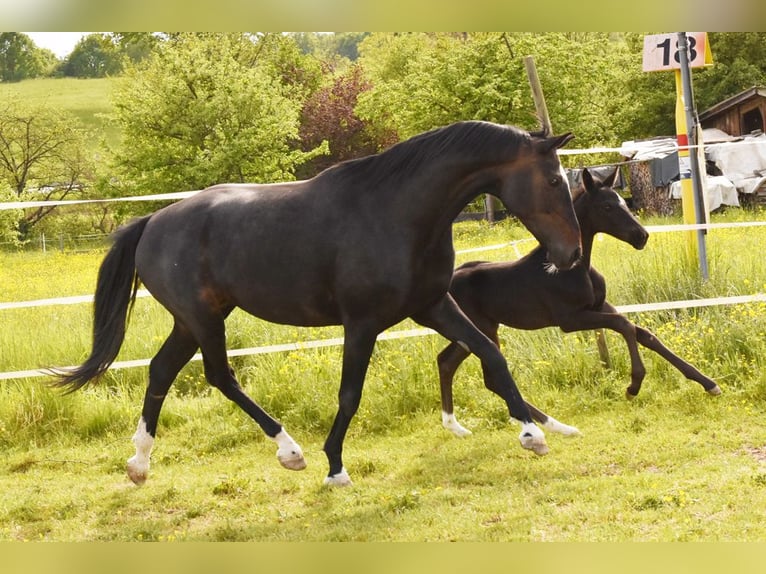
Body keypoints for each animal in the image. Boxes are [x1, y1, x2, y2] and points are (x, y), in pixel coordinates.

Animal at [53, 120, 582, 487]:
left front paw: (534, 434)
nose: (571, 254)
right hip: (202, 319)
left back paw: (140, 464)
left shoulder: (432, 305)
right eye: (556, 181)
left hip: (193, 320)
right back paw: (291, 452)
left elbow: (491, 354)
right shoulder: (362, 323)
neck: (398, 213)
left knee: (162, 371)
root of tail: (152, 223)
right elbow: (350, 394)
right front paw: (335, 467)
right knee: (219, 376)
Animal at [438, 167, 721, 438]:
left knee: (448, 362)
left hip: (475, 331)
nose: (641, 236)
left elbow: (644, 334)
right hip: (481, 328)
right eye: (606, 206)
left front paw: (709, 383)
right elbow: (624, 324)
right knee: (488, 375)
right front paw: (634, 385)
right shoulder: (570, 319)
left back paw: (457, 427)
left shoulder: (599, 306)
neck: (575, 268)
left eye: (623, 202)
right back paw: (552, 426)